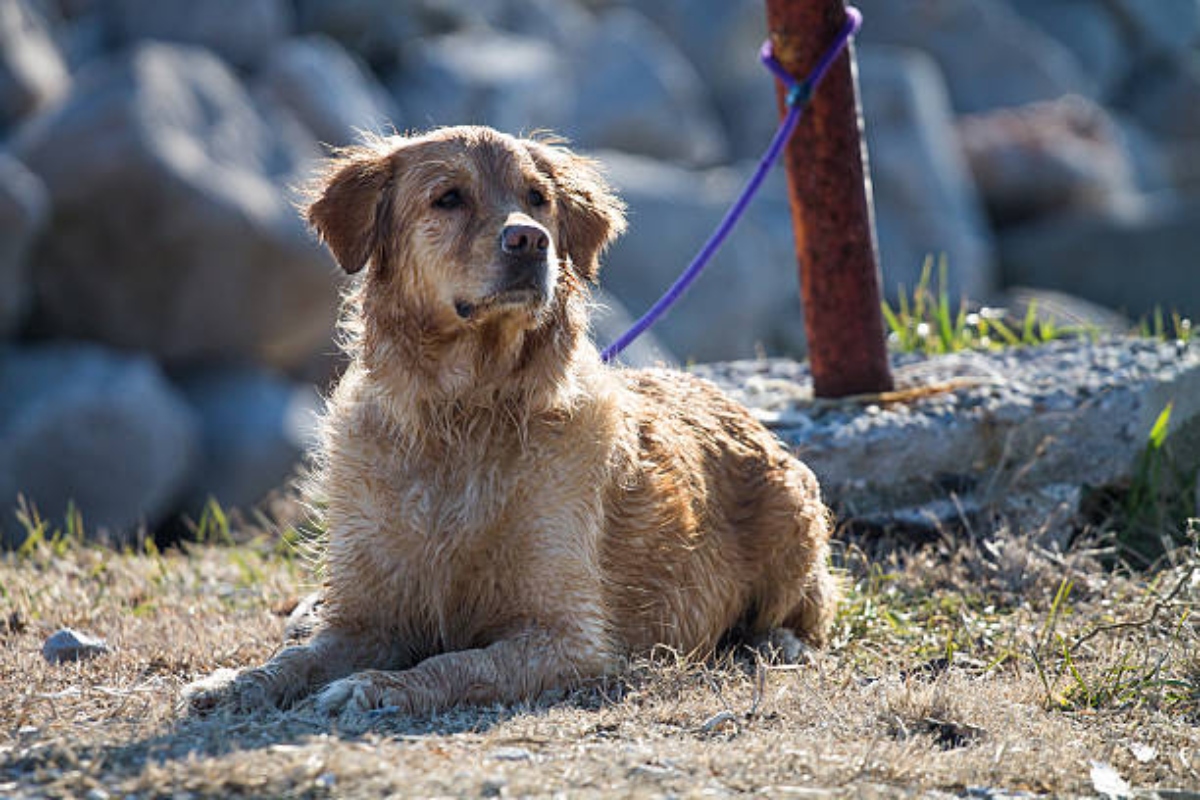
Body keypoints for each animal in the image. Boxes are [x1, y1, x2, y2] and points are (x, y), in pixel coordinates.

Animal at [182, 126, 840, 719]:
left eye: (538, 198)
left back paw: (778, 641)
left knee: (804, 611)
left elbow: (456, 662)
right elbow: (298, 658)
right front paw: (236, 682)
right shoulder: (368, 616)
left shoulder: (567, 635)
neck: (465, 410)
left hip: (795, 521)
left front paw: (380, 687)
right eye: (449, 197)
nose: (530, 239)